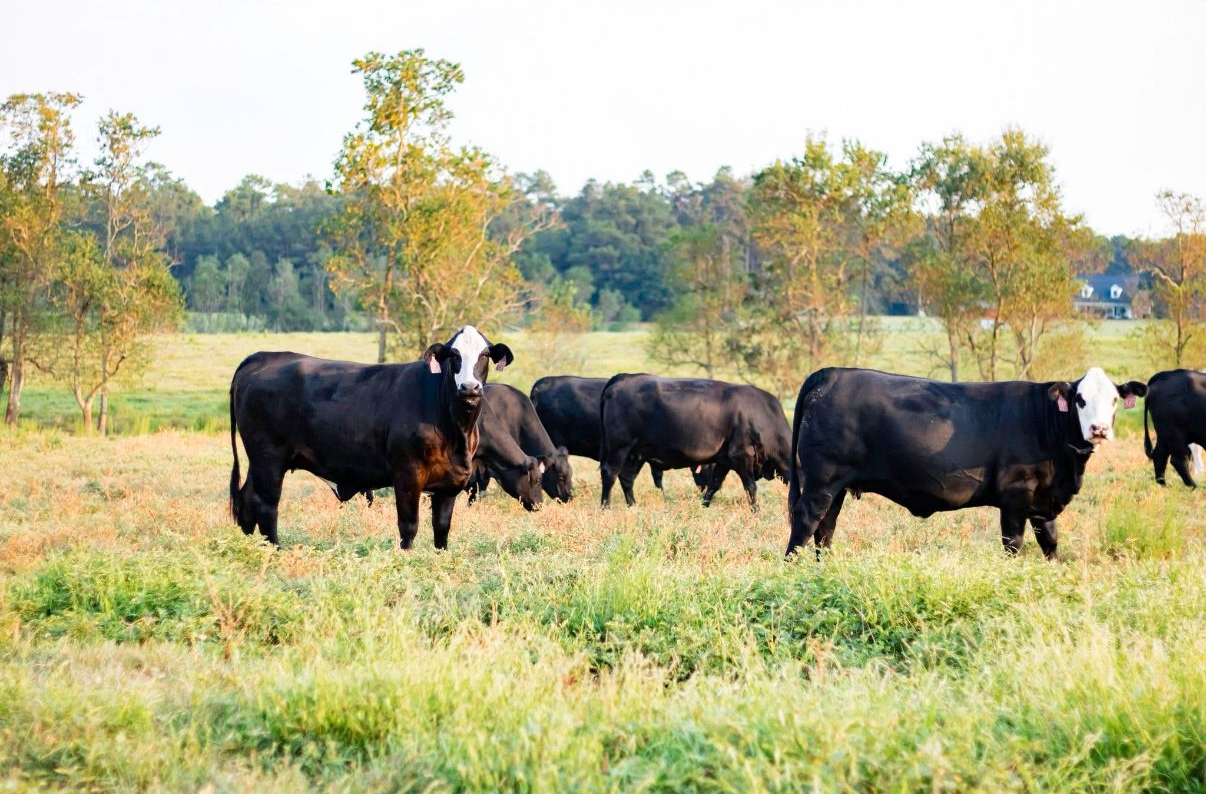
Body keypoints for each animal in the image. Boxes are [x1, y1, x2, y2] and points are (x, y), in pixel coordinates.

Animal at [228, 325, 514, 549]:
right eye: (454, 355)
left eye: (485, 354)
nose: (469, 388)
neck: (455, 429)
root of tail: (263, 357)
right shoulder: (407, 474)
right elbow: (408, 526)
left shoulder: (449, 482)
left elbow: (442, 530)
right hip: (269, 458)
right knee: (266, 505)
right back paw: (274, 549)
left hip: (260, 461)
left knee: (247, 499)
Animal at [598, 374, 792, 509]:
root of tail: (623, 377)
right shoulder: (741, 455)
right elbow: (750, 487)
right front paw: (756, 510)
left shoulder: (724, 460)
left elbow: (714, 484)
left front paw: (704, 506)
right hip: (619, 447)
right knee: (610, 473)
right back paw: (605, 507)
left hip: (634, 452)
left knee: (626, 478)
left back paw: (633, 505)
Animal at [786, 367, 1148, 560]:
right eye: (1080, 399)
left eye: (1114, 400)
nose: (1098, 429)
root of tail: (831, 374)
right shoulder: (1015, 495)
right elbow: (1013, 544)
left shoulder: (1043, 500)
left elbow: (1050, 542)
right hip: (822, 480)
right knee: (806, 521)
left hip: (837, 486)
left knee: (826, 528)